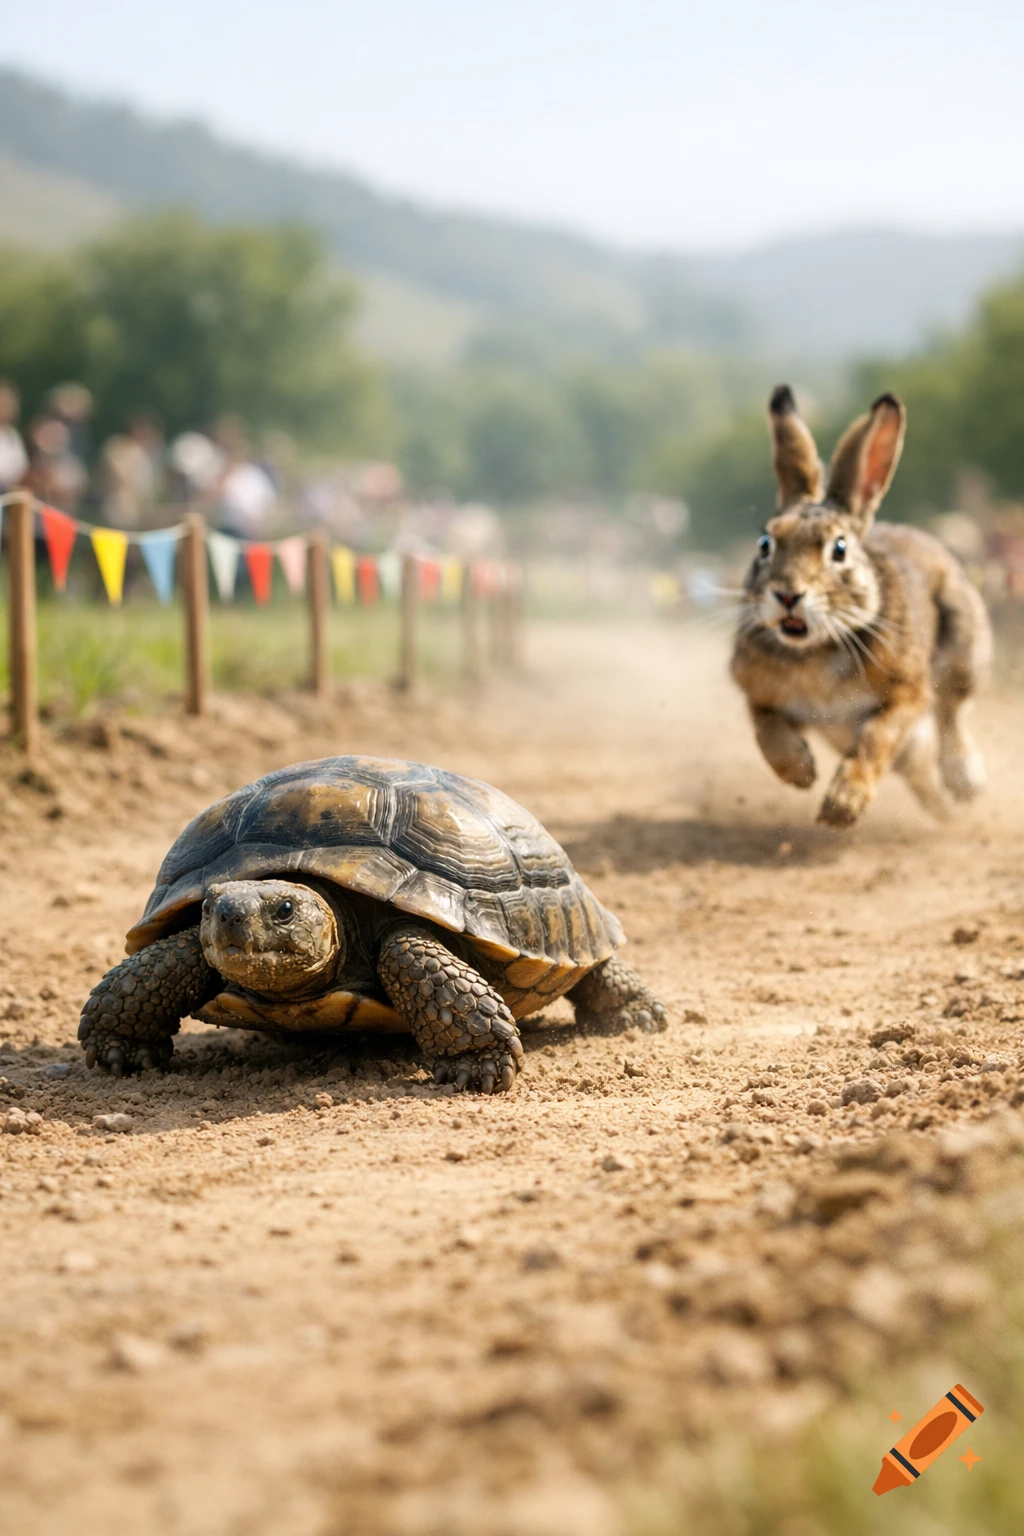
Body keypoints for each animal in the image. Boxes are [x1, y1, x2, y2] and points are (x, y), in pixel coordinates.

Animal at [731, 385, 992, 828]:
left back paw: (966, 780)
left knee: (952, 712)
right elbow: (766, 732)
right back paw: (945, 813)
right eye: (765, 543)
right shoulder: (757, 693)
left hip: (964, 642)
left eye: (839, 549)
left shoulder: (906, 693)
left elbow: (875, 742)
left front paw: (841, 807)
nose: (788, 595)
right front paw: (801, 772)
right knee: (922, 771)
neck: (815, 650)